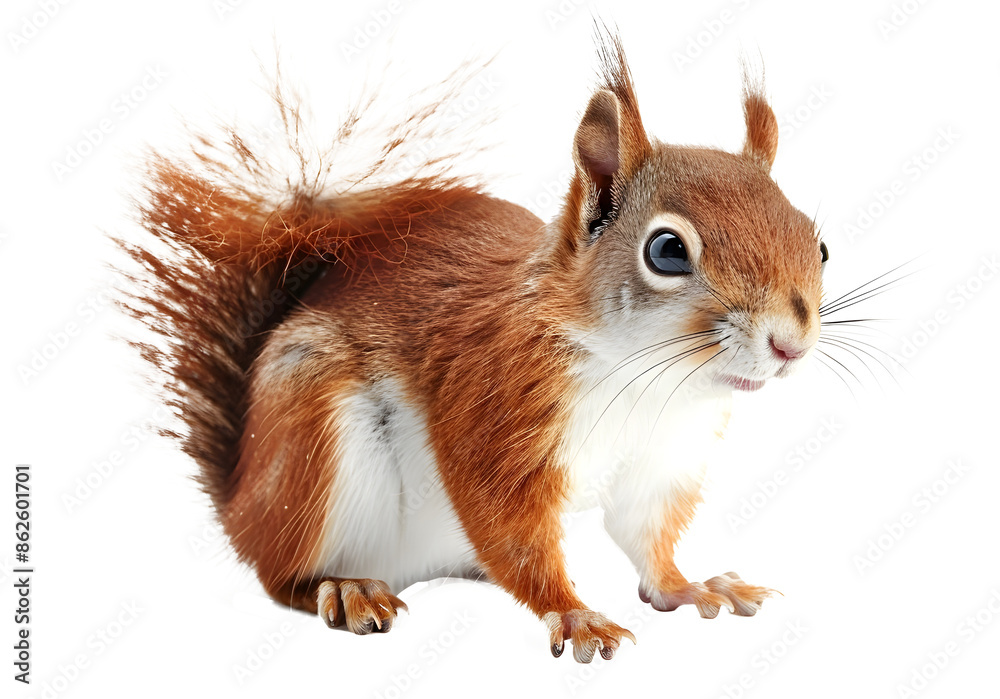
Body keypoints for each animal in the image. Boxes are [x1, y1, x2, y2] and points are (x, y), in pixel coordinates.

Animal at [119, 31, 828, 663]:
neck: (648, 378)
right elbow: (509, 527)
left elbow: (646, 539)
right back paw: (343, 588)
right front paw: (576, 614)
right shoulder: (495, 405)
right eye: (667, 251)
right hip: (313, 445)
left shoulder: (663, 459)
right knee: (281, 574)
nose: (789, 345)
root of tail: (242, 499)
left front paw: (691, 586)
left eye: (817, 243)